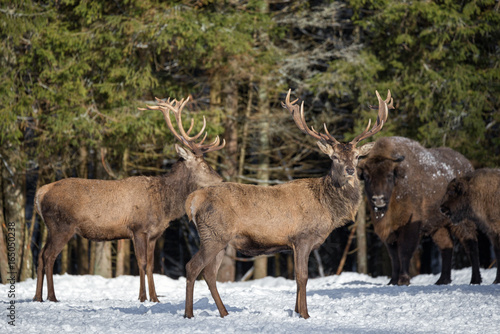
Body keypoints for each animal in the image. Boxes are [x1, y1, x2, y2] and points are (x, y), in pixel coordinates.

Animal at [33, 96, 225, 302]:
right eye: (204, 165)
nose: (221, 180)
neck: (165, 204)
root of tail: (41, 193)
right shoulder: (138, 228)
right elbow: (141, 263)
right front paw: (142, 297)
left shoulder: (154, 234)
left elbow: (151, 265)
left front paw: (155, 298)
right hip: (61, 225)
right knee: (49, 256)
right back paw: (52, 297)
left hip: (51, 227)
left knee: (40, 254)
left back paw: (37, 297)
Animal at [186, 88, 392, 318]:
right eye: (335, 157)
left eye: (357, 156)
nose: (350, 170)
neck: (328, 209)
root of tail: (193, 200)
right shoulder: (302, 237)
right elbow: (303, 277)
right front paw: (305, 314)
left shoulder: (296, 244)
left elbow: (297, 278)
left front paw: (296, 311)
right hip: (213, 235)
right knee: (192, 267)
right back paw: (189, 314)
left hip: (220, 240)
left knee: (210, 274)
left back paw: (224, 313)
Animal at [356, 137, 480, 286]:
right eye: (366, 176)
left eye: (389, 175)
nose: (378, 199)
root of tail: (468, 166)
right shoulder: (388, 232)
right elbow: (394, 256)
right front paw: (392, 281)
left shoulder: (410, 227)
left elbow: (404, 252)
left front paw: (403, 280)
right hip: (438, 227)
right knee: (447, 245)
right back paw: (442, 280)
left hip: (461, 221)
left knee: (471, 244)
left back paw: (475, 280)